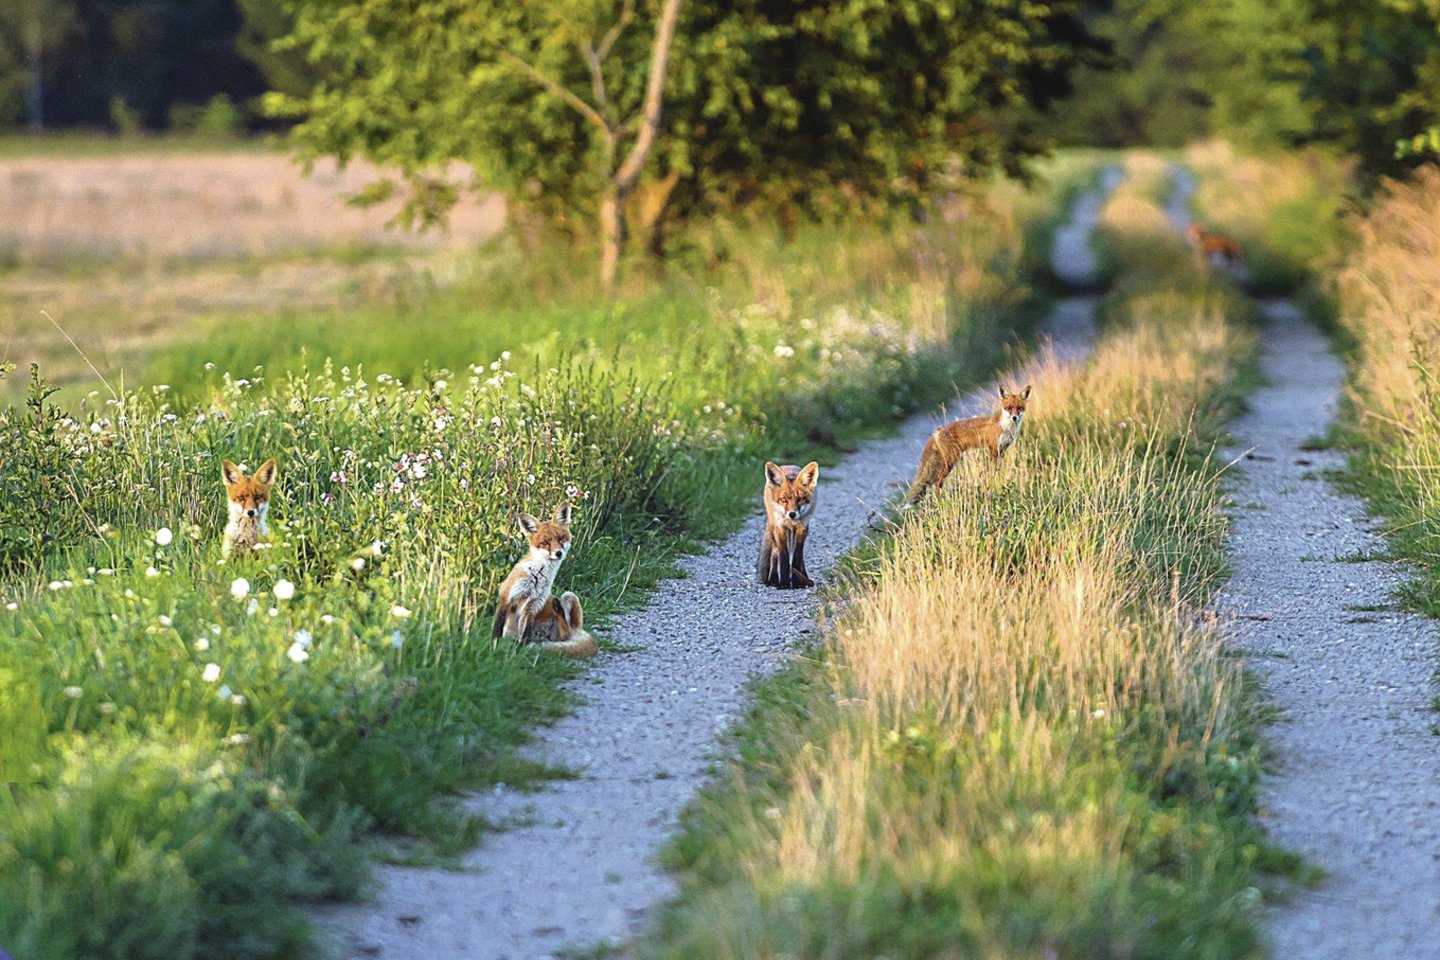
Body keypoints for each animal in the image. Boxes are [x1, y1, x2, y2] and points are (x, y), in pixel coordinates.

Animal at [486, 503, 593, 662]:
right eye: (545, 543)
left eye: (560, 539)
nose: (558, 553)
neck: (536, 578)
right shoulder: (507, 597)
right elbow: (496, 629)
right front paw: (493, 648)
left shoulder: (533, 606)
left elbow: (525, 635)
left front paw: (519, 652)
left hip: (569, 596)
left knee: (565, 632)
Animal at [754, 460, 823, 590]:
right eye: (783, 500)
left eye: (800, 499)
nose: (792, 514)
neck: (792, 522)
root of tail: (788, 465)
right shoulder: (780, 528)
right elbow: (783, 558)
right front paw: (784, 583)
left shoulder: (802, 529)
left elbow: (797, 557)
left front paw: (798, 582)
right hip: (775, 528)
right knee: (774, 554)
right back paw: (773, 580)